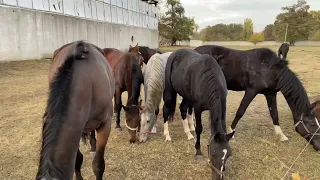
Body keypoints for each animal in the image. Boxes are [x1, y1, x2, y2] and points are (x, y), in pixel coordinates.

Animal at [164, 48, 234, 179]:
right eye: (213, 154)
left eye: (229, 155)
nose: (218, 177)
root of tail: (175, 53)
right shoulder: (197, 108)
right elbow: (199, 129)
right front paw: (198, 151)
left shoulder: (223, 105)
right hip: (169, 91)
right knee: (166, 110)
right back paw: (167, 135)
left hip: (186, 96)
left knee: (183, 108)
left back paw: (188, 133)